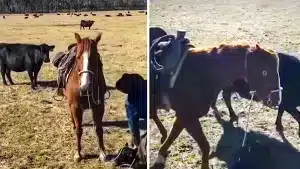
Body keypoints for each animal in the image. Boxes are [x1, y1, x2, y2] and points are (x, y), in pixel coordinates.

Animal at [62, 32, 107, 162]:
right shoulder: (76, 107)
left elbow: (99, 129)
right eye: (77, 57)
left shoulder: (99, 106)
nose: (85, 85)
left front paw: (102, 152)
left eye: (95, 57)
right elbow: (79, 130)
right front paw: (78, 154)